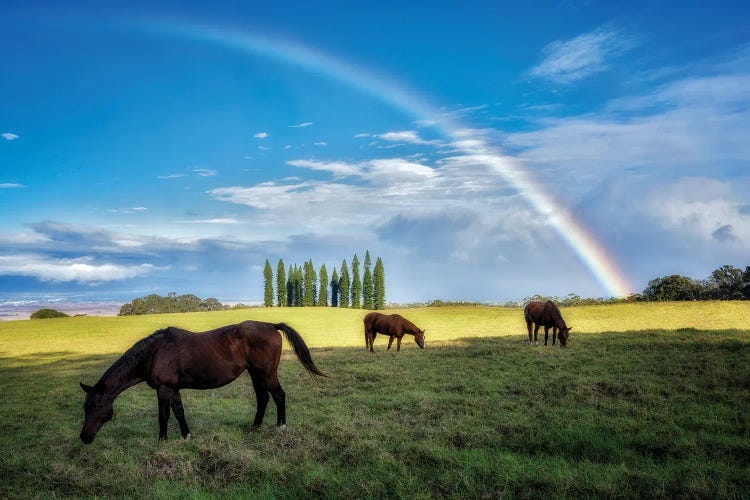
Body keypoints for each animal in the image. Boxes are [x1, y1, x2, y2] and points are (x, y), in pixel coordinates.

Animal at [80, 318, 326, 444]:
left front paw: (162, 440)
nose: (84, 437)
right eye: (85, 407)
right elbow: (179, 411)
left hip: (266, 373)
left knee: (278, 395)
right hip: (255, 374)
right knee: (263, 398)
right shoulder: (173, 388)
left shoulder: (164, 388)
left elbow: (164, 415)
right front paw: (186, 436)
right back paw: (255, 427)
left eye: (95, 406)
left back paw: (281, 427)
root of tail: (271, 325)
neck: (155, 352)